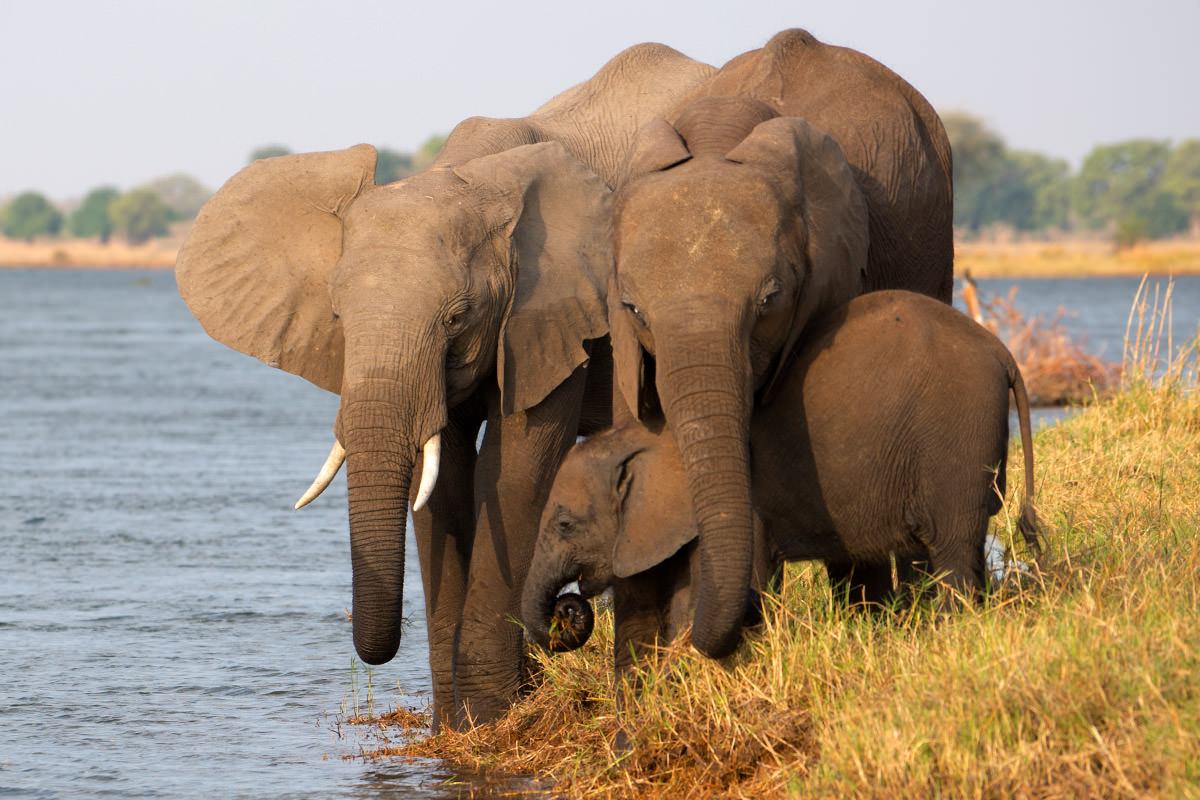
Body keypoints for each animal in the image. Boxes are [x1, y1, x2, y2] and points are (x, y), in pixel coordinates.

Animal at [175, 43, 715, 734]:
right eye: (338, 317)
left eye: (457, 318)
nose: (568, 613)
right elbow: (441, 481)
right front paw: (455, 730)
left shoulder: (552, 316)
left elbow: (509, 474)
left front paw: (490, 722)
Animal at [525, 291, 1041, 671]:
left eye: (566, 525)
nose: (566, 610)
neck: (645, 437)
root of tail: (1002, 350)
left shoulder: (748, 508)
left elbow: (737, 579)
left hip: (956, 441)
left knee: (952, 549)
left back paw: (950, 633)